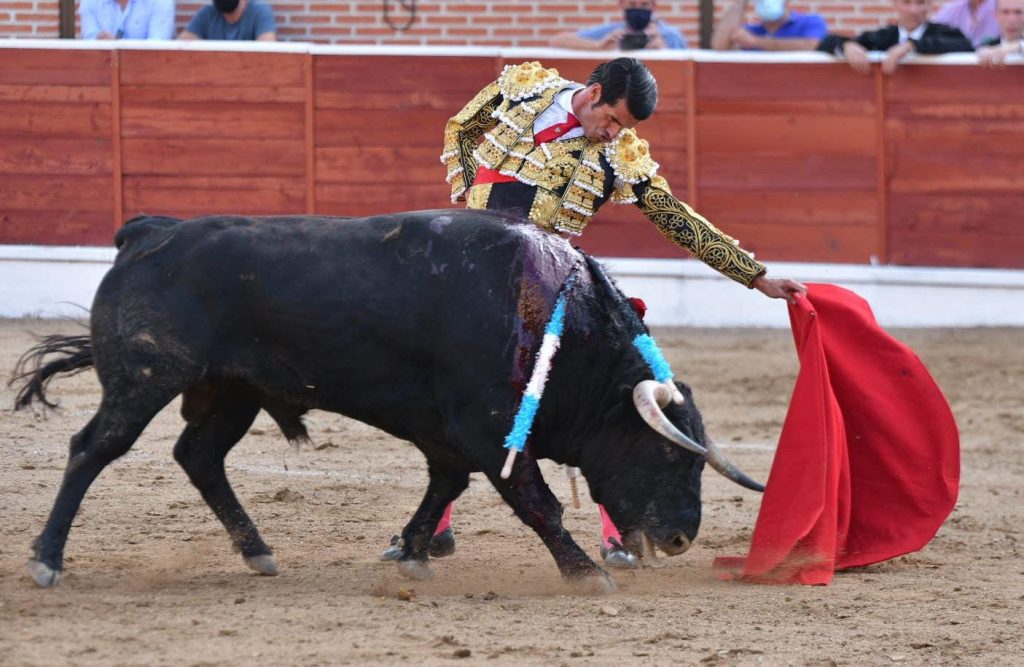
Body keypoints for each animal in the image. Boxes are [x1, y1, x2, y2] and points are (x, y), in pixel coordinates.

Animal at [9, 210, 761, 590]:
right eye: (671, 457)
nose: (681, 537)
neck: (560, 326)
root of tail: (146, 232)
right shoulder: (490, 426)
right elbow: (534, 498)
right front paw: (581, 571)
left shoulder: (447, 433)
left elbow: (445, 485)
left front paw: (414, 550)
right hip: (147, 376)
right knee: (94, 447)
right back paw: (47, 559)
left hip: (233, 389)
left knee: (199, 455)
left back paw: (258, 551)